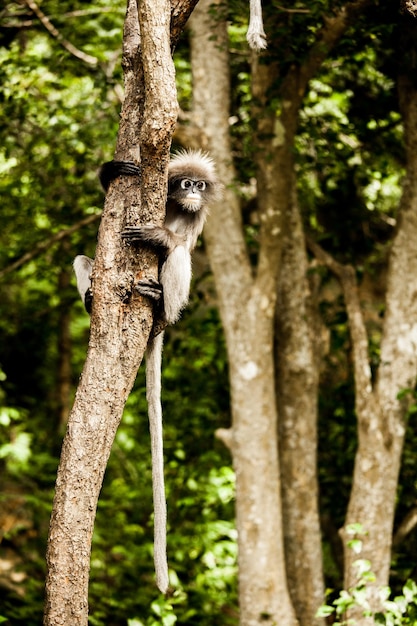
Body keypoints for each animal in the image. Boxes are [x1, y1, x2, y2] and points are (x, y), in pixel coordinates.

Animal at [72, 149, 221, 592]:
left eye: (199, 186)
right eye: (185, 183)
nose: (193, 191)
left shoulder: (196, 218)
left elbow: (183, 245)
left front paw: (160, 236)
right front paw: (111, 172)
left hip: (172, 302)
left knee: (182, 257)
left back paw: (160, 307)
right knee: (83, 258)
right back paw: (92, 297)